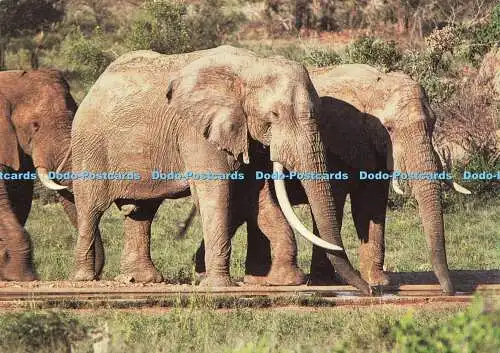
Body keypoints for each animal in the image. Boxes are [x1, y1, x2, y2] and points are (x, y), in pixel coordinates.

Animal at [71, 46, 372, 294]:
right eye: (274, 116)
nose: (370, 290)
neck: (252, 65)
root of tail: (94, 87)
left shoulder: (245, 133)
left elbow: (260, 199)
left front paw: (285, 281)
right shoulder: (196, 131)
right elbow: (215, 193)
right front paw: (218, 286)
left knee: (142, 211)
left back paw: (143, 279)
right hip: (89, 145)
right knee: (91, 207)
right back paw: (84, 278)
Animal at [187, 64, 468, 294]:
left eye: (433, 124)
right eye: (389, 128)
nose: (449, 291)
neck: (374, 84)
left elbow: (370, 206)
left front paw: (380, 282)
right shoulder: (337, 141)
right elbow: (337, 200)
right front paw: (327, 281)